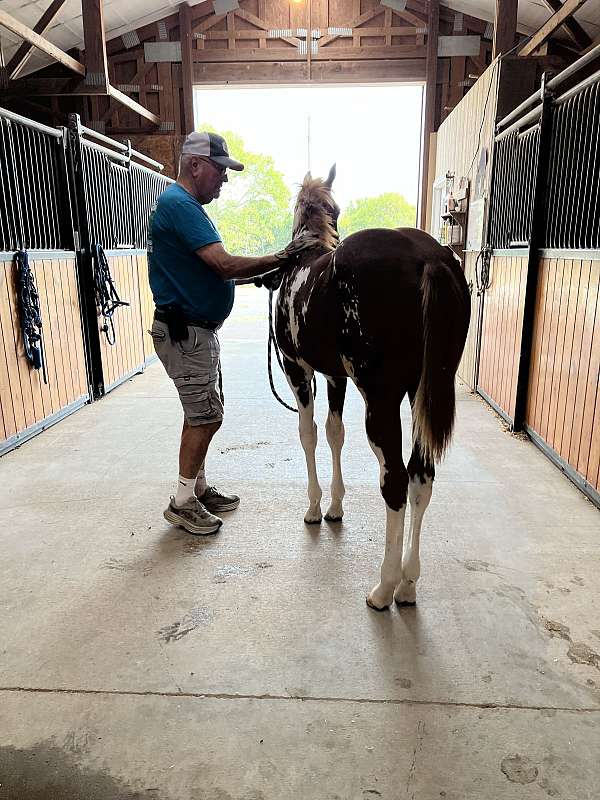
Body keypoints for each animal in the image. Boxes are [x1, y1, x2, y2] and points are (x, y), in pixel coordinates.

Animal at [274, 167, 474, 608]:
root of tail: (430, 258)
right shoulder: (335, 376)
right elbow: (335, 433)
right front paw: (334, 506)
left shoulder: (298, 370)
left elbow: (308, 433)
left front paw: (315, 507)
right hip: (420, 393)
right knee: (421, 476)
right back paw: (408, 584)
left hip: (381, 400)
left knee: (396, 480)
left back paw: (384, 588)